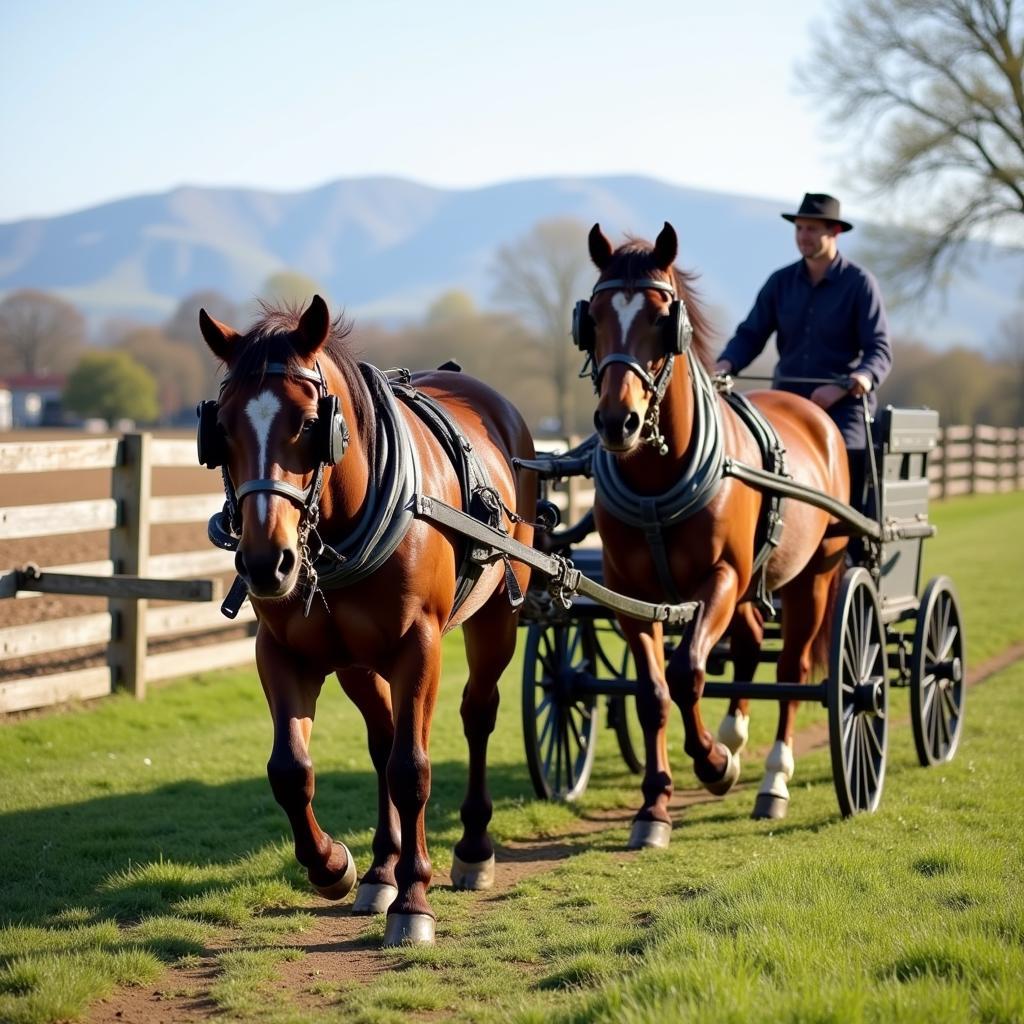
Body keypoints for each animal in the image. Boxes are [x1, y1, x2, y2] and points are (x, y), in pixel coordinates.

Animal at [197, 294, 536, 942]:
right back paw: (381, 870)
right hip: (357, 661)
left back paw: (472, 848)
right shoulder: (283, 652)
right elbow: (291, 768)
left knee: (476, 715)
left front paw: (415, 899)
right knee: (381, 740)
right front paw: (334, 866)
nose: (266, 562)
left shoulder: (420, 645)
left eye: (308, 424)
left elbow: (412, 769)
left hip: (495, 620)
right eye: (220, 430)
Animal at [577, 224, 847, 839]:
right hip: (752, 586)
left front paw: (714, 764)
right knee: (748, 645)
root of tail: (811, 408)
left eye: (662, 318)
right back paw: (735, 735)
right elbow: (653, 694)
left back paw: (773, 779)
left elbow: (688, 673)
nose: (618, 422)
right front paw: (654, 806)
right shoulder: (631, 595)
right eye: (593, 317)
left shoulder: (720, 579)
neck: (658, 479)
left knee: (792, 670)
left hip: (815, 577)